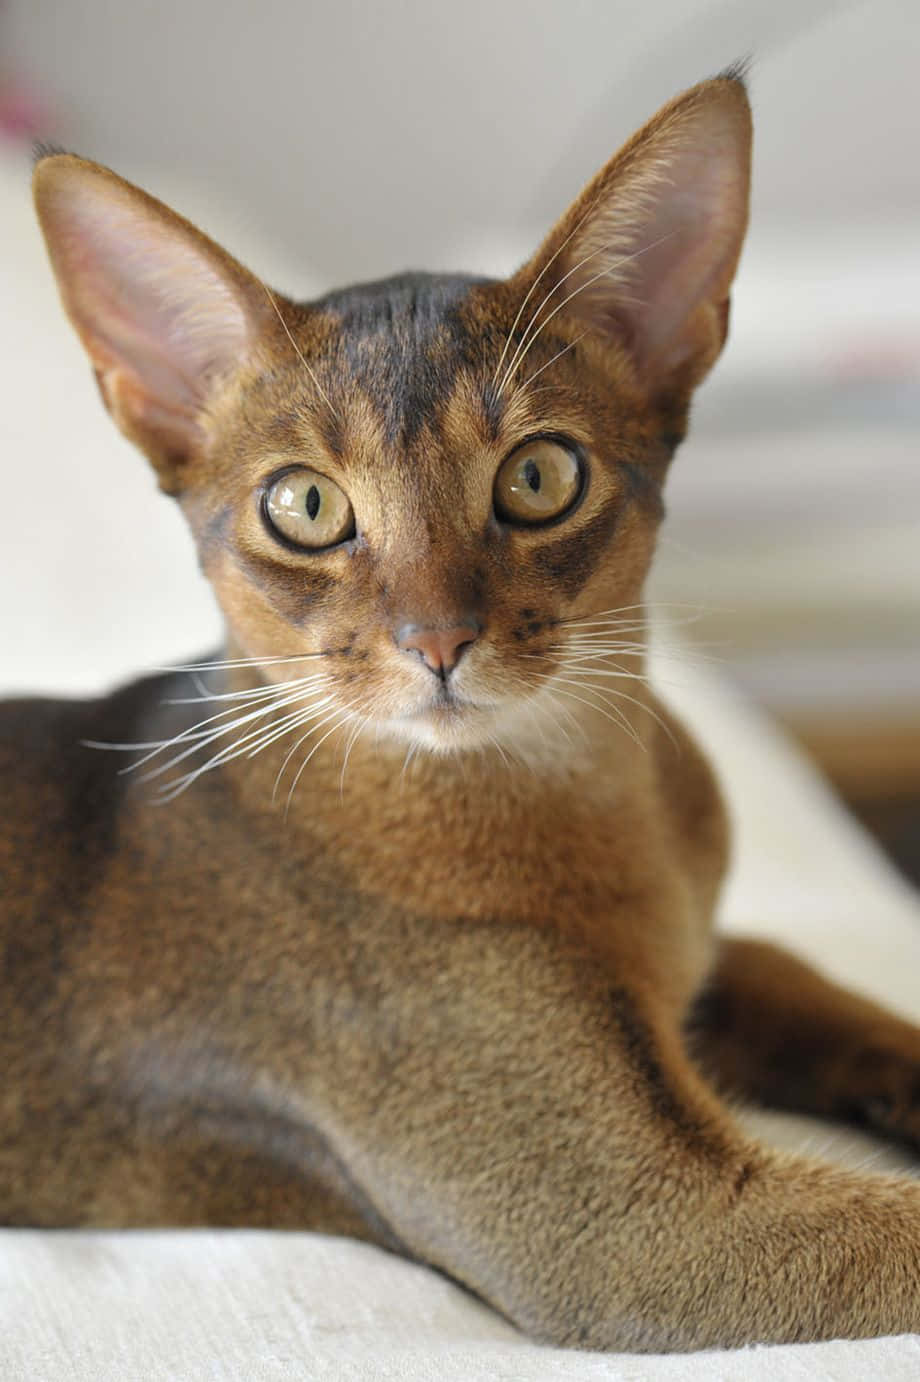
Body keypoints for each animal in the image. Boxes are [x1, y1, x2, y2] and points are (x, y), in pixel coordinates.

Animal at [1, 67, 917, 1348]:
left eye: (537, 476)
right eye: (303, 505)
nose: (436, 641)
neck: (600, 800)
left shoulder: (703, 963)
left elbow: (818, 986)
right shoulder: (644, 1226)